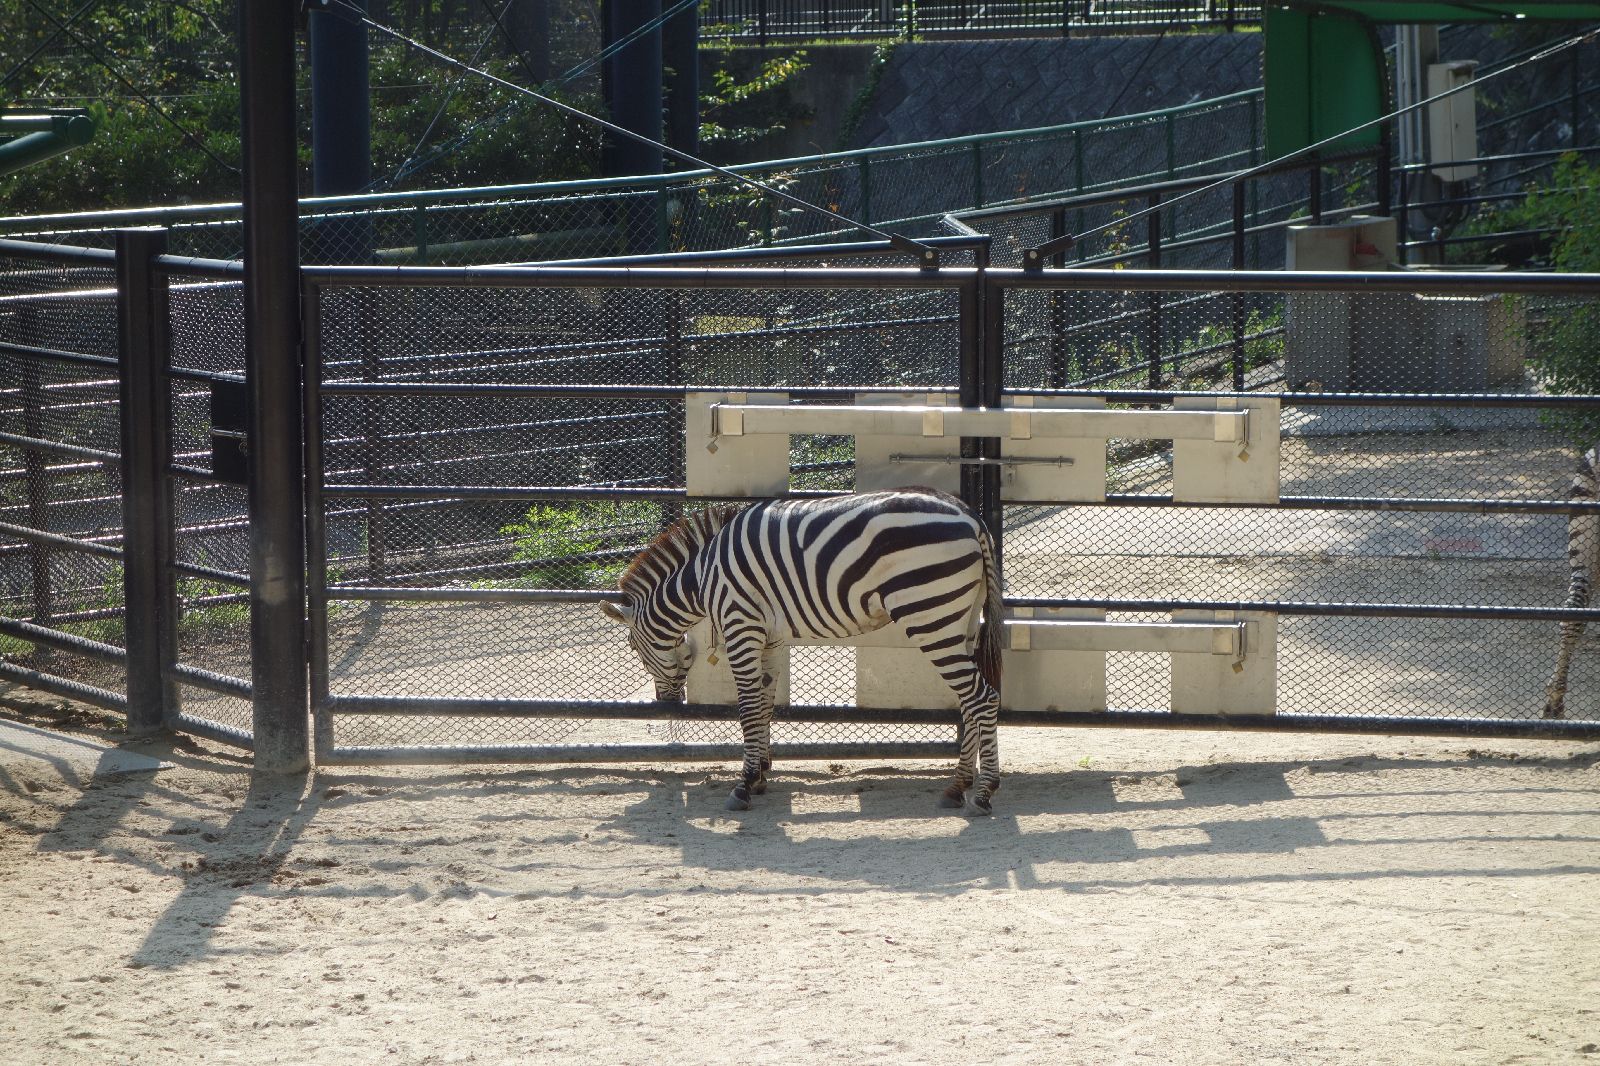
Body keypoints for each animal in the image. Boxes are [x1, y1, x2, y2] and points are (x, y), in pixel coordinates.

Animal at [601, 489, 998, 813]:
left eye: (633, 647)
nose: (664, 704)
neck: (702, 577)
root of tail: (969, 514)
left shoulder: (740, 625)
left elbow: (748, 706)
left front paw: (743, 785)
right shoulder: (770, 638)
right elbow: (764, 704)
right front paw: (761, 775)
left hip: (930, 614)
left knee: (983, 698)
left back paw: (983, 793)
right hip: (960, 621)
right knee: (969, 701)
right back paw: (957, 787)